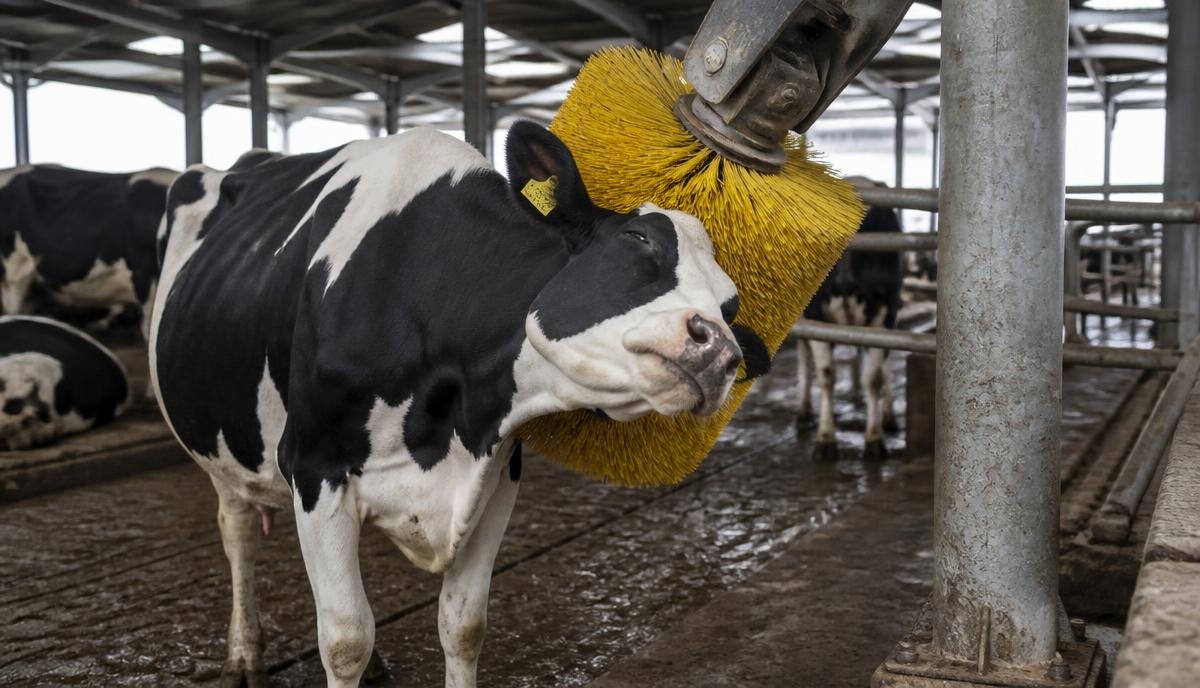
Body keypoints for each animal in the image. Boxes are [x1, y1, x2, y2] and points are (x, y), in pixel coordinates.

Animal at [149, 122, 744, 687]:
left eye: (730, 305)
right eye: (638, 238)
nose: (721, 350)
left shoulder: (497, 474)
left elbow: (463, 626)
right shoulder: (315, 465)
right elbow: (345, 639)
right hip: (224, 451)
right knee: (238, 534)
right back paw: (244, 657)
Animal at [797, 200, 903, 461]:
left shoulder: (883, 318)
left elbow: (873, 379)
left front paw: (874, 439)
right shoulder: (816, 316)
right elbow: (826, 376)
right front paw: (826, 438)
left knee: (886, 365)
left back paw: (889, 416)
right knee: (804, 358)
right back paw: (803, 410)